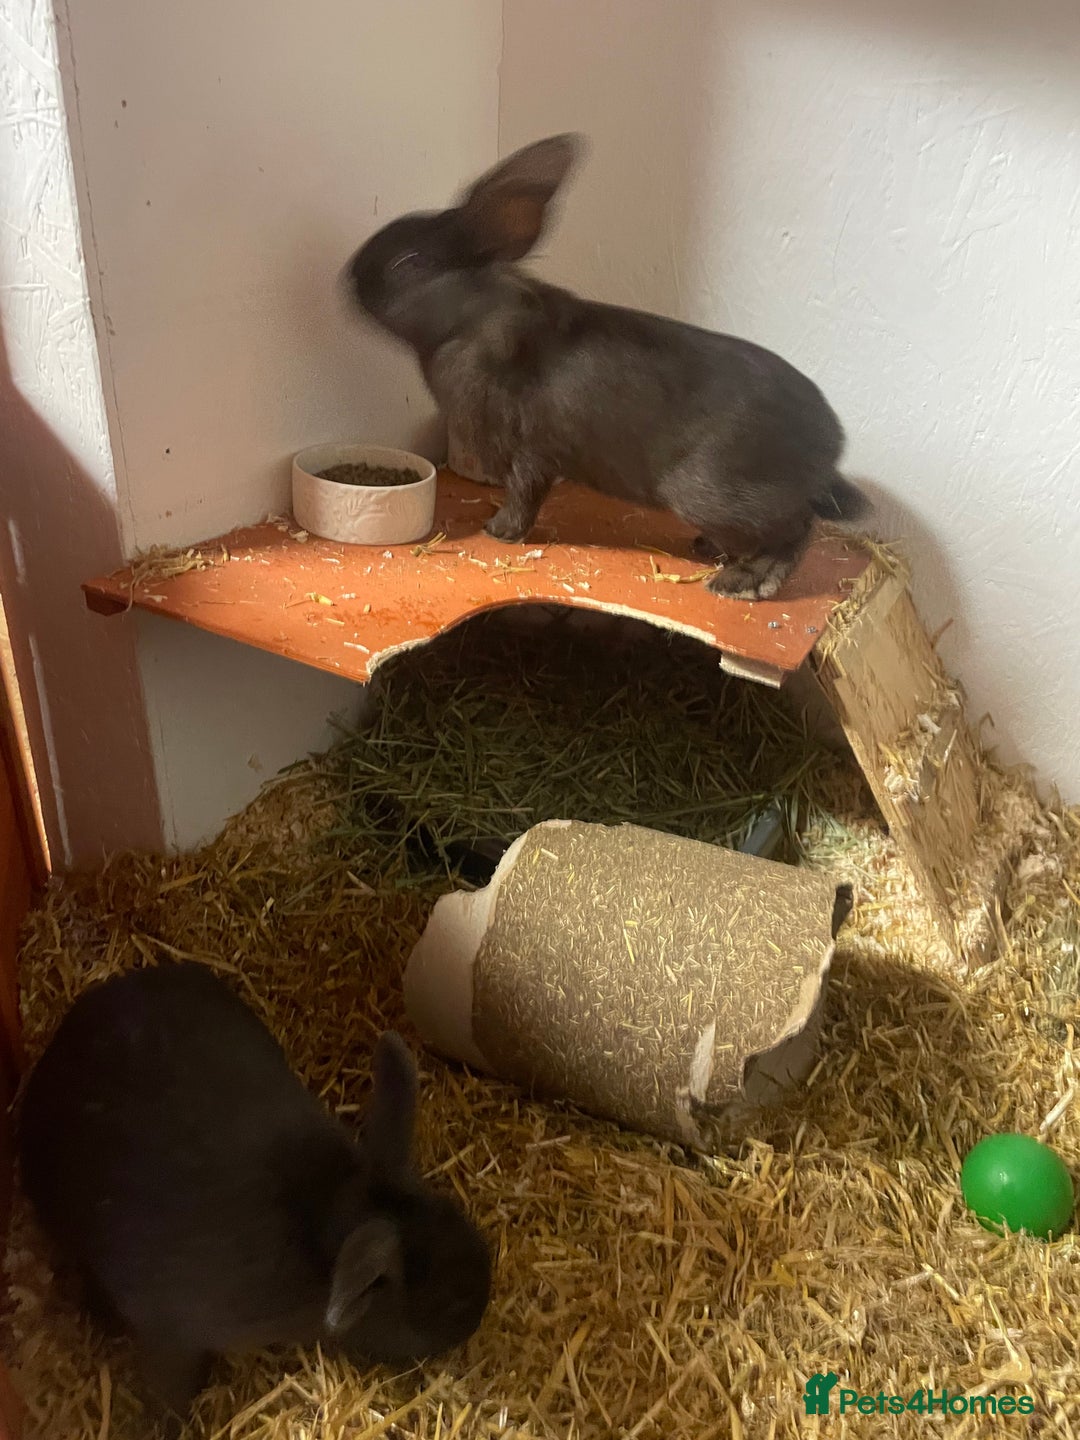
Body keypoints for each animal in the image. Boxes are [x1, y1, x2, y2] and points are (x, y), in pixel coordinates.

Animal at [344, 134, 869, 601]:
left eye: (408, 264)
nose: (347, 277)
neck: (472, 318)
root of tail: (831, 445)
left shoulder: (530, 452)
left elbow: (524, 495)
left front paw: (498, 531)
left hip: (709, 493)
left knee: (795, 530)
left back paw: (743, 583)